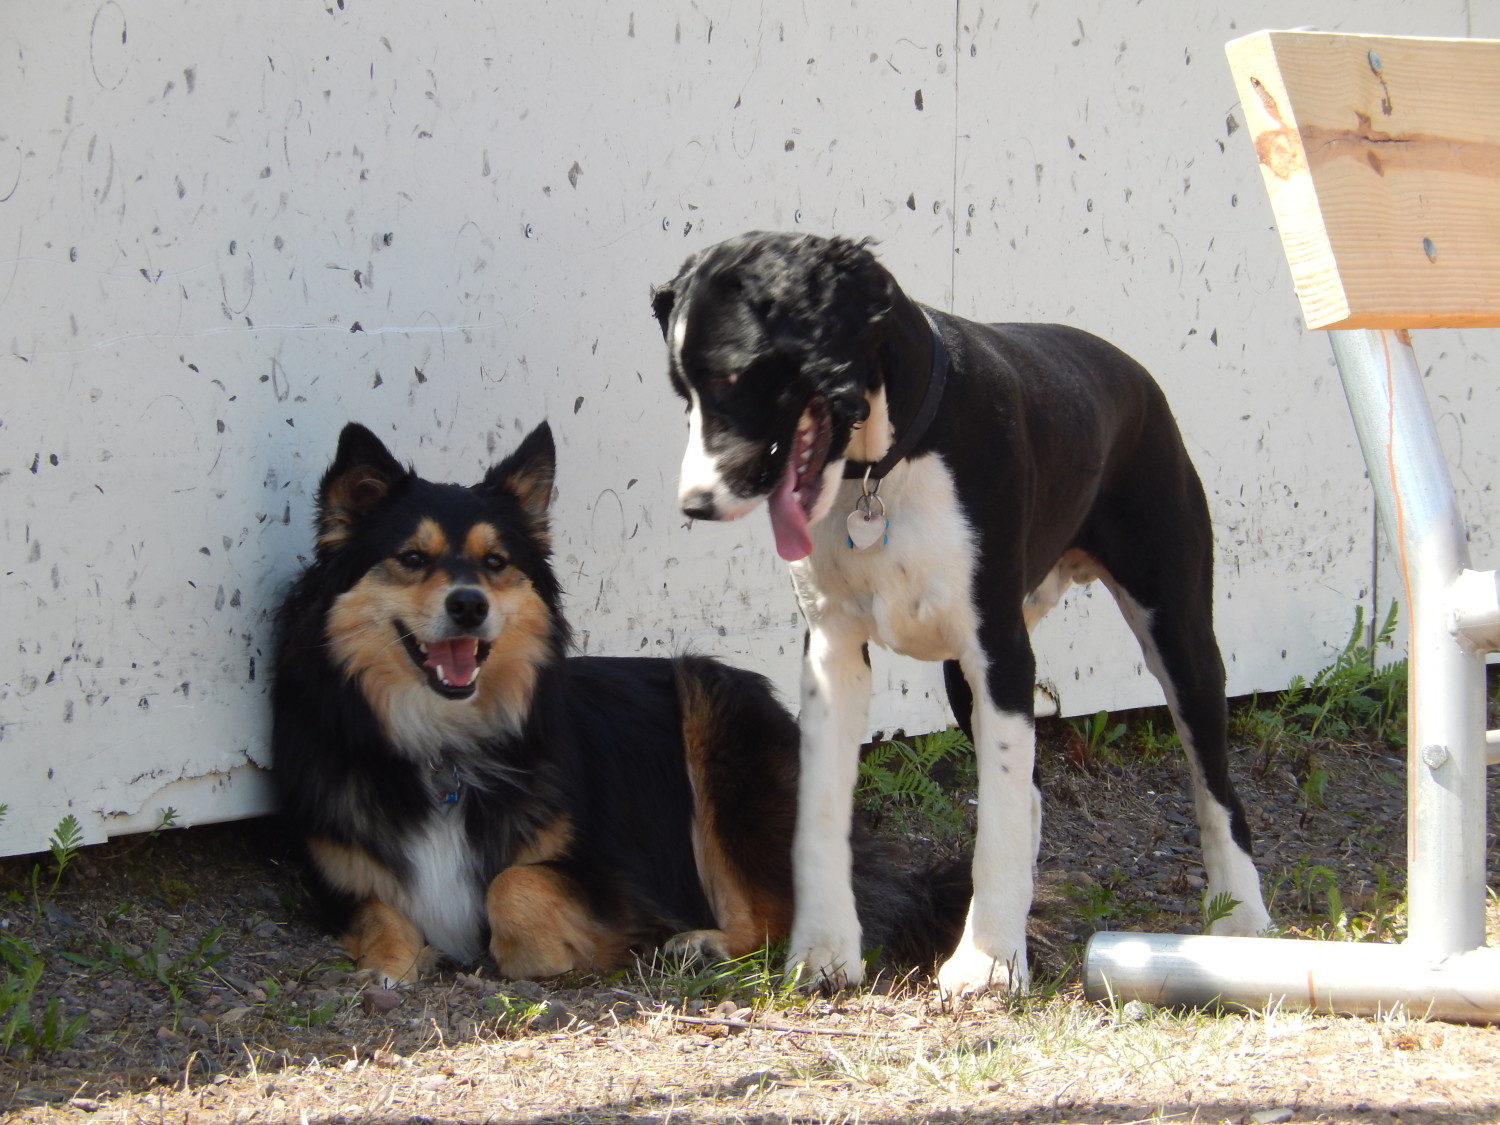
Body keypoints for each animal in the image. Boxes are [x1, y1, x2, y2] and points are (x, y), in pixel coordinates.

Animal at [273, 420, 960, 984]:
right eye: (412, 558)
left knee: (779, 914)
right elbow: (379, 914)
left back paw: (703, 945)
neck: (445, 748)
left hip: (712, 713)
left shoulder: (617, 877)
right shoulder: (335, 880)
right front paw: (391, 963)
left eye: (495, 561)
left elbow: (512, 888)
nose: (469, 604)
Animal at [651, 229, 1272, 996]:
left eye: (735, 378)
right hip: (959, 676)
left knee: (1215, 786)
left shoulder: (999, 652)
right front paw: (824, 952)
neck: (886, 464)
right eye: (683, 390)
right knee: (1031, 797)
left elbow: (997, 818)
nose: (696, 504)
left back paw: (1240, 914)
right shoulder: (832, 651)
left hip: (1177, 634)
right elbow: (820, 816)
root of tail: (1129, 371)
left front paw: (987, 960)